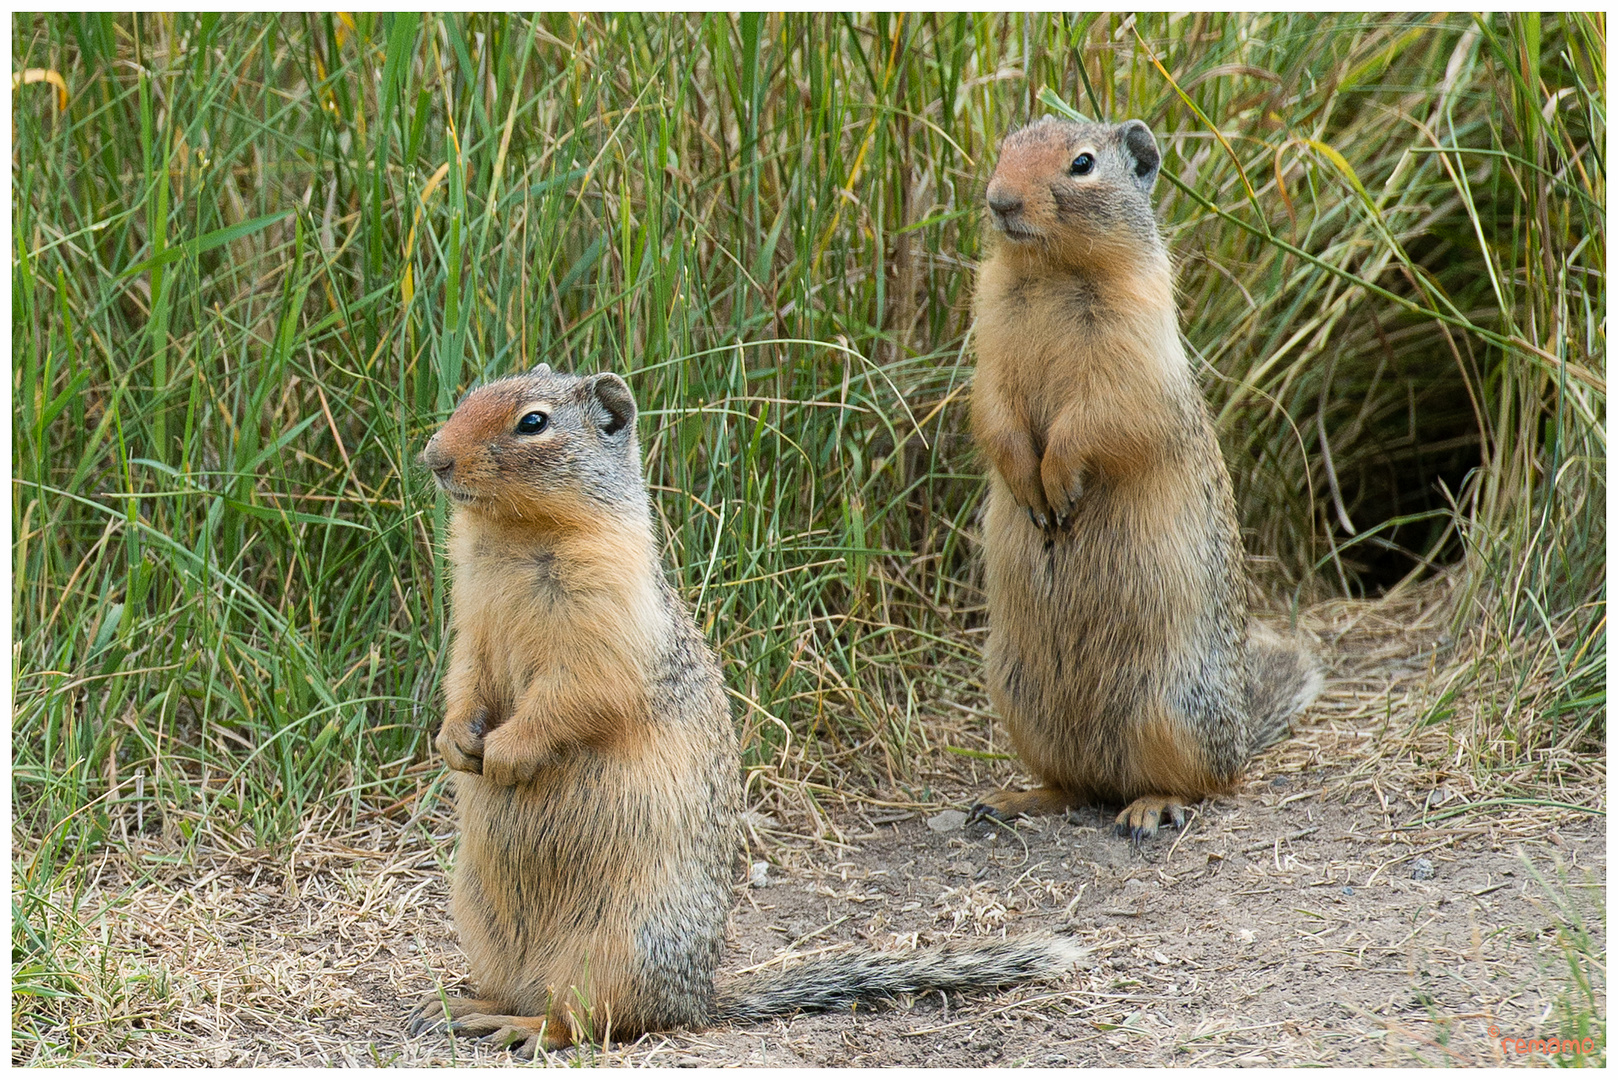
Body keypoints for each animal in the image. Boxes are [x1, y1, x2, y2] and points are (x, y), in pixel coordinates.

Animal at [407, 362, 1087, 1055]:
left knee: (589, 1019)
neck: (516, 539)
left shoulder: (607, 627)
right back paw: (462, 1006)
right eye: (471, 395)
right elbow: (464, 680)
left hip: (615, 947)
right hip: (477, 918)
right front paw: (455, 742)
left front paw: (505, 753)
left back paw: (520, 1027)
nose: (433, 458)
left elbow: (573, 697)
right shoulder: (471, 625)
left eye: (533, 423)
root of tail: (699, 999)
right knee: (523, 990)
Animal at [964, 118, 1320, 841]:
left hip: (1167, 709)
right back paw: (1015, 798)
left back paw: (1150, 808)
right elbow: (995, 413)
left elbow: (1096, 421)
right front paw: (1028, 487)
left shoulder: (1130, 353)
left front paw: (1057, 484)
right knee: (1073, 784)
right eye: (1005, 147)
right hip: (1015, 696)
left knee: (1204, 784)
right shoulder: (989, 339)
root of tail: (1240, 736)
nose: (999, 200)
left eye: (1082, 164)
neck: (1050, 274)